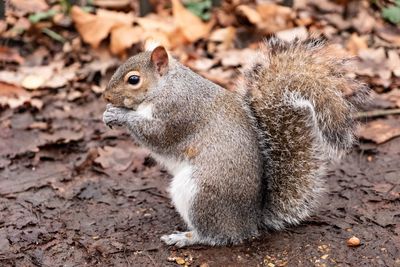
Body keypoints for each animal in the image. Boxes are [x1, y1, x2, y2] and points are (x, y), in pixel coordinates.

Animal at [102, 38, 366, 249]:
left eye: (133, 79)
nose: (105, 96)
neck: (165, 86)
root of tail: (250, 222)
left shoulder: (177, 113)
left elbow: (157, 135)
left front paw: (119, 115)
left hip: (200, 194)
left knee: (215, 236)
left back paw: (186, 237)